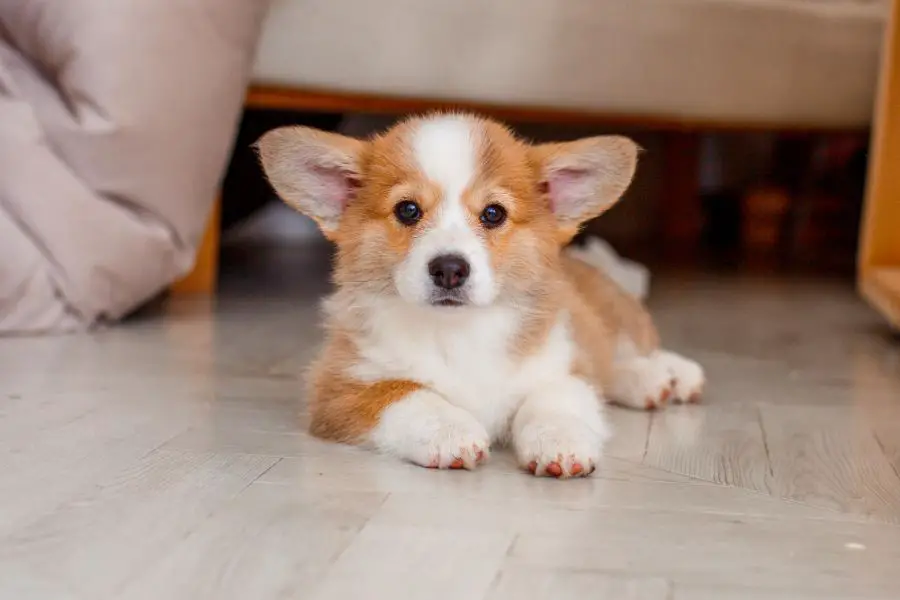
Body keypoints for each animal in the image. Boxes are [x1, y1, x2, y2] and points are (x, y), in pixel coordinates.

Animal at [253, 111, 704, 478]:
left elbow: (554, 399)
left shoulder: (560, 366)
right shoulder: (337, 388)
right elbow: (404, 392)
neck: (457, 332)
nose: (449, 269)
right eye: (407, 210)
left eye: (493, 214)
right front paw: (450, 430)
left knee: (624, 352)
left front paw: (559, 441)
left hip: (612, 315)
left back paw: (669, 373)